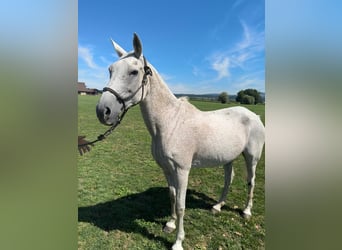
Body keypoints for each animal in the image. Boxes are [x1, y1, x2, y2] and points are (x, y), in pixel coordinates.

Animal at [95, 33, 264, 250]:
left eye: (134, 71)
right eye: (110, 70)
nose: (103, 111)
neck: (170, 122)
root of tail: (255, 116)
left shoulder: (183, 170)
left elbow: (182, 205)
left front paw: (178, 242)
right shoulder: (167, 169)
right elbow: (173, 197)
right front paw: (170, 224)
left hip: (252, 157)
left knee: (251, 181)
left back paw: (246, 211)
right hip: (227, 158)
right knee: (229, 179)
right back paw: (217, 206)